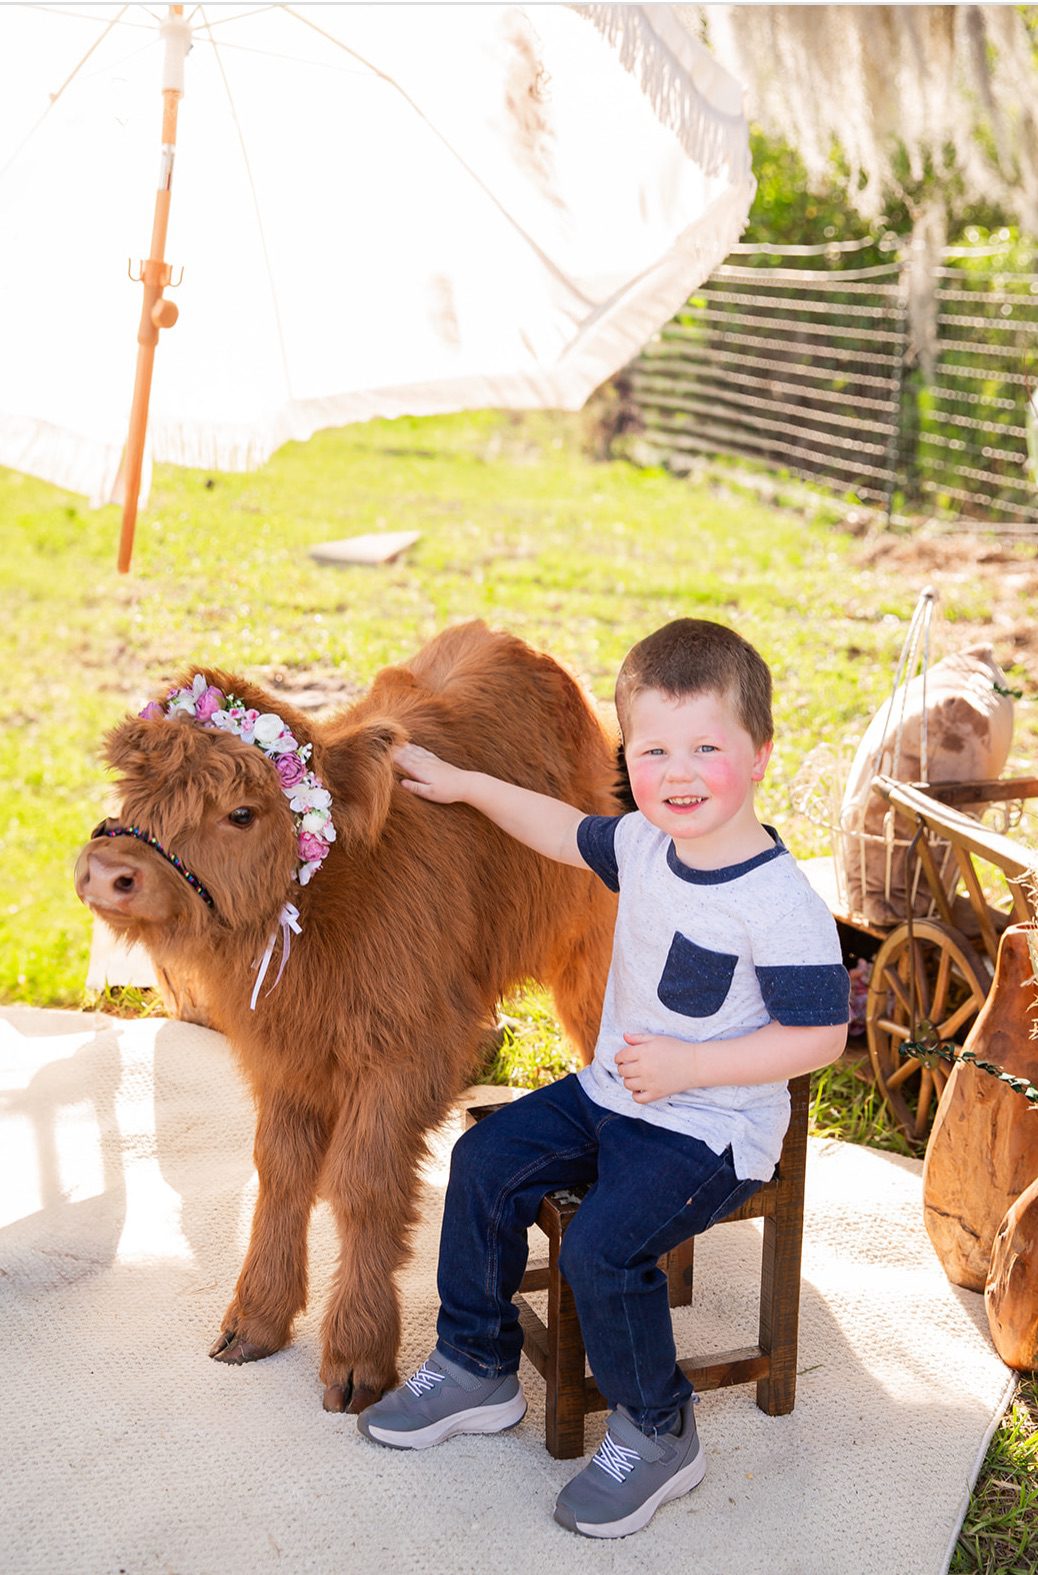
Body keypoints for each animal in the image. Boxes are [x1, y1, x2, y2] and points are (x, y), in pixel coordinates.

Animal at [75, 621, 619, 1412]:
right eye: (133, 788)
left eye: (241, 812)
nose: (108, 870)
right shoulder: (284, 1057)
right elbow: (281, 1169)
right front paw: (256, 1319)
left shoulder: (401, 1055)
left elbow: (361, 1184)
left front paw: (359, 1353)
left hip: (585, 941)